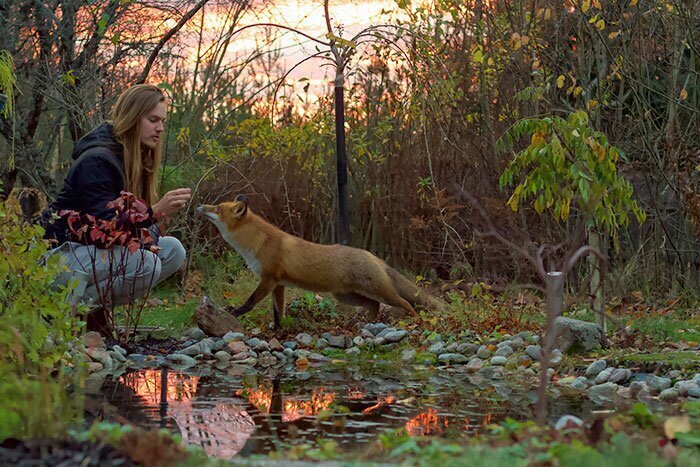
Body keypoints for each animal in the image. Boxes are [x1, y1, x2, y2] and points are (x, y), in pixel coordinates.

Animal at [197, 196, 442, 328]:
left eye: (217, 208)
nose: (199, 205)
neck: (257, 243)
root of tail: (372, 255)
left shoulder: (268, 278)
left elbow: (250, 302)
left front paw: (233, 313)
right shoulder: (279, 284)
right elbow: (278, 312)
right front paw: (277, 330)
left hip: (379, 291)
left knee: (406, 303)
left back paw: (414, 323)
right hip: (346, 296)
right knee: (374, 305)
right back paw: (368, 325)